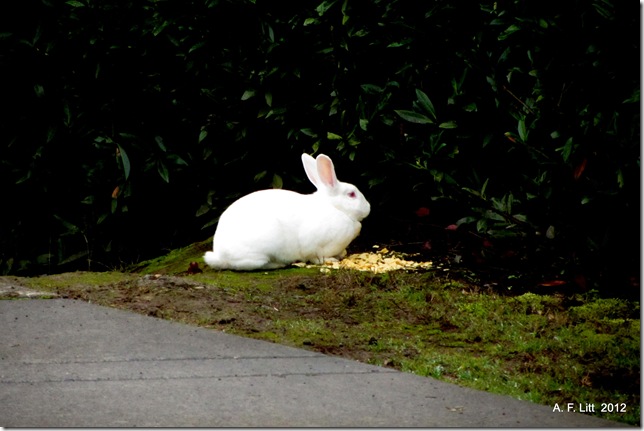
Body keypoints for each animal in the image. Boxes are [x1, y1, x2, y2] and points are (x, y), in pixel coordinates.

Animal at [203, 153, 371, 270]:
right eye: (352, 194)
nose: (368, 207)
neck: (335, 208)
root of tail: (220, 255)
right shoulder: (314, 246)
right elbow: (316, 257)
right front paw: (332, 260)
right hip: (259, 251)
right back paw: (278, 265)